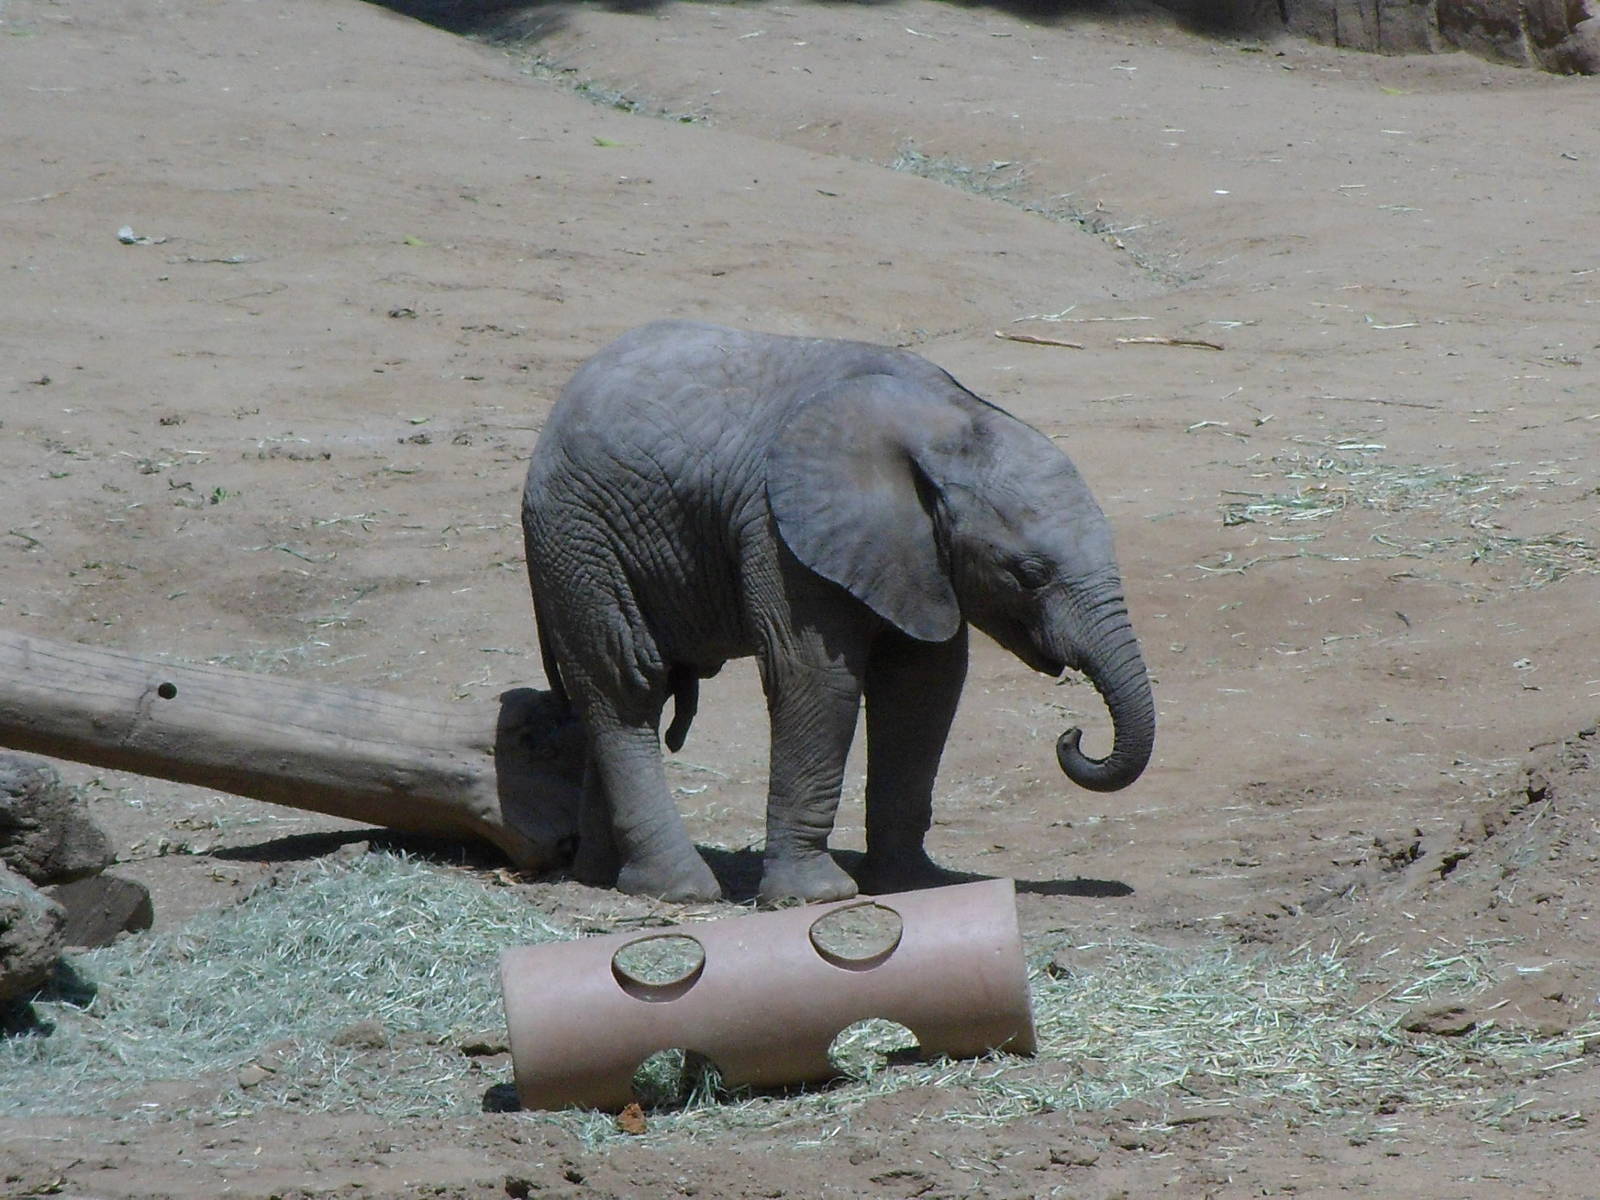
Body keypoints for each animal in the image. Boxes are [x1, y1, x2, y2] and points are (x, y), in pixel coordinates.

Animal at [522, 320, 1155, 905]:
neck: (947, 420)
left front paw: (914, 885)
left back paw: (603, 878)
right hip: (580, 542)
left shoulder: (917, 558)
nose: (1073, 733)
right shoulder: (779, 530)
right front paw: (818, 897)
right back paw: (679, 890)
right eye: (1028, 573)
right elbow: (816, 678)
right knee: (626, 685)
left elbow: (922, 687)